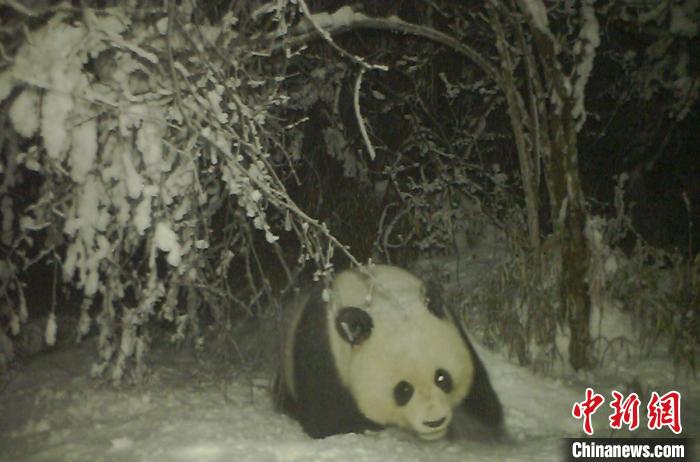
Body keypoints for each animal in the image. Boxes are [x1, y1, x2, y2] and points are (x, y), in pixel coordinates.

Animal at [274, 266, 504, 438]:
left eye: (442, 378)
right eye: (403, 389)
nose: (434, 421)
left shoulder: (454, 327)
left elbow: (481, 396)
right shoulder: (324, 355)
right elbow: (329, 419)